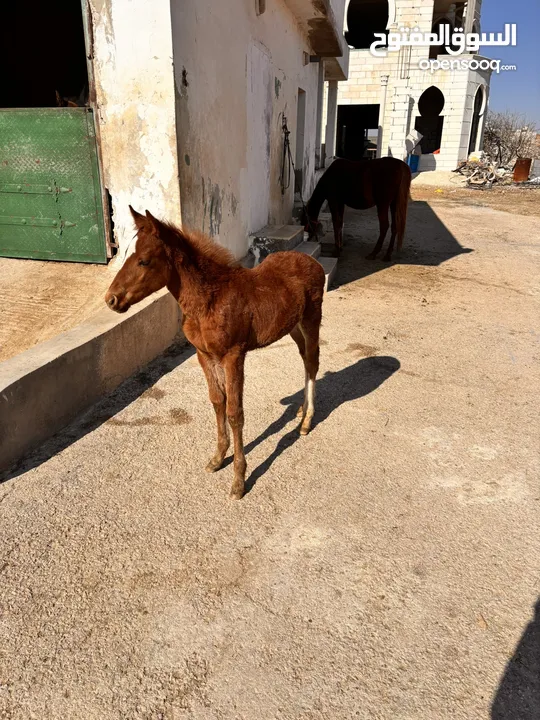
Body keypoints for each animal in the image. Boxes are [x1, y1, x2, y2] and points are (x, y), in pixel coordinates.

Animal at [105, 208, 324, 498]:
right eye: (126, 254)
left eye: (144, 261)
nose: (111, 299)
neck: (210, 299)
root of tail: (313, 262)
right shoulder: (204, 355)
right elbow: (217, 402)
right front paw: (218, 458)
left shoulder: (234, 356)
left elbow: (234, 413)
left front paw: (239, 479)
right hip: (293, 326)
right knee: (304, 359)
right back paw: (301, 410)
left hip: (311, 319)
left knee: (312, 361)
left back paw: (307, 421)